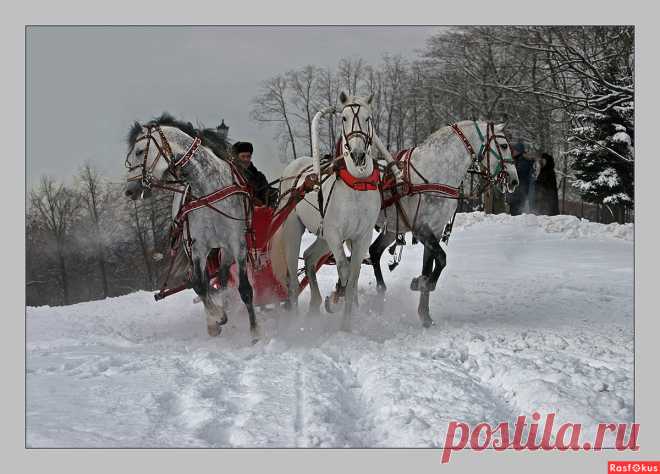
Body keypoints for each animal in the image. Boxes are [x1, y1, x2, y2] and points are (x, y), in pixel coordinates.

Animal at [122, 117, 260, 342]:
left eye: (140, 151)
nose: (130, 190)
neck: (207, 188)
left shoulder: (236, 242)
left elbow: (245, 288)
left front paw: (255, 331)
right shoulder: (197, 247)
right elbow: (199, 285)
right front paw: (216, 318)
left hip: (226, 250)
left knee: (223, 278)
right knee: (206, 282)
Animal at [270, 91, 384, 330]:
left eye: (368, 118)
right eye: (344, 118)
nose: (358, 154)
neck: (357, 183)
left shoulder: (362, 236)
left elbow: (355, 274)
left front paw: (348, 320)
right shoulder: (334, 233)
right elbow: (344, 268)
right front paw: (338, 301)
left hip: (322, 236)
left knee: (309, 257)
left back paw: (315, 304)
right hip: (294, 230)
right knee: (293, 278)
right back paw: (295, 320)